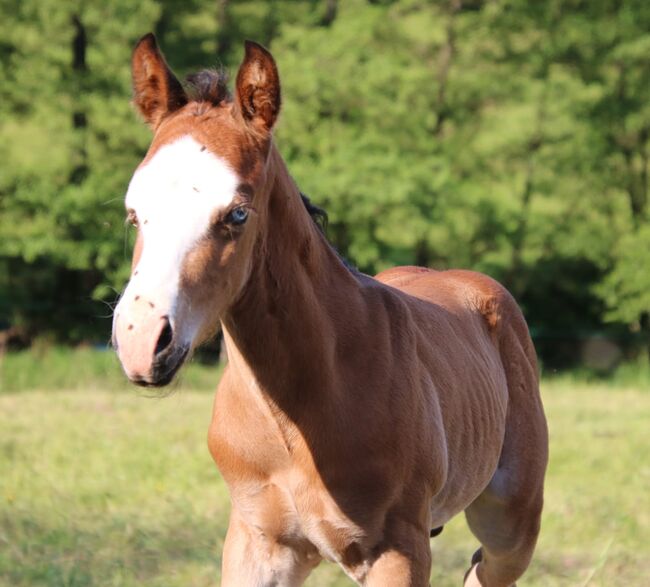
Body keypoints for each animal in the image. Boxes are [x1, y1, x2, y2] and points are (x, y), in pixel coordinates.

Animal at [112, 34, 548, 584]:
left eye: (238, 212)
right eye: (134, 212)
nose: (140, 338)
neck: (302, 408)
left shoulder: (398, 550)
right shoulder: (258, 542)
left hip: (511, 521)